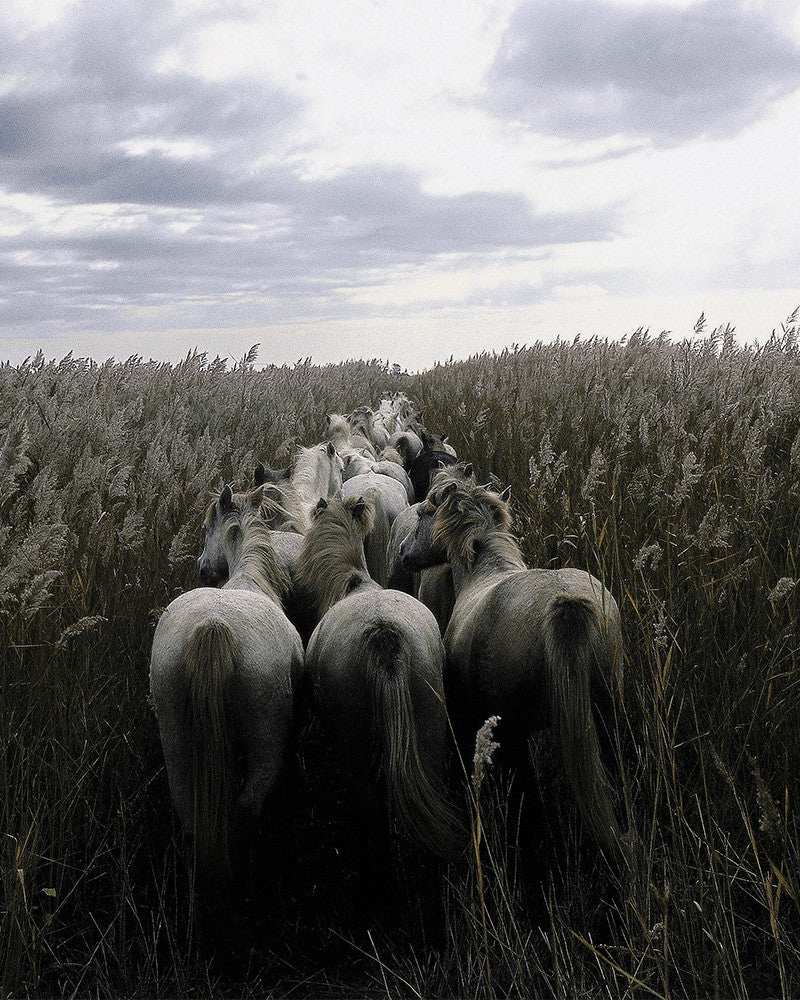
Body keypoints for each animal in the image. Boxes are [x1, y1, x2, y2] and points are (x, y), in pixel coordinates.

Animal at [150, 485, 304, 889]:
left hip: (175, 739)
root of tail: (213, 625)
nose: (202, 567)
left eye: (207, 528)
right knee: (248, 806)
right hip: (266, 741)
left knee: (187, 808)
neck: (251, 578)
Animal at [400, 479, 623, 851]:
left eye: (422, 513)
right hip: (605, 716)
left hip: (514, 732)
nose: (404, 551)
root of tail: (566, 602)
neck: (483, 572)